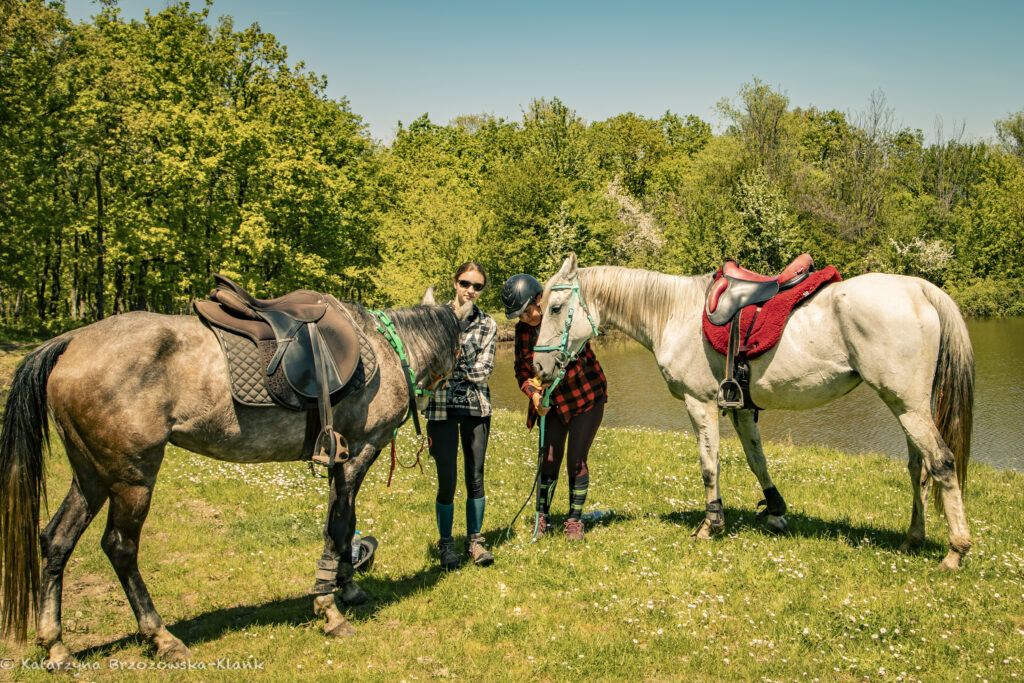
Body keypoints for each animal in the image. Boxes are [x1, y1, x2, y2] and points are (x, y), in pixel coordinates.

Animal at [0, 289, 470, 668]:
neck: (389, 349)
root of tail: (71, 341)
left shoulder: (341, 460)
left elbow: (345, 524)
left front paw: (347, 588)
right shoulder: (358, 452)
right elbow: (338, 527)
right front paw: (329, 608)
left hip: (92, 473)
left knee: (56, 540)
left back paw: (56, 645)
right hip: (132, 477)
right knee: (120, 548)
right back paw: (161, 636)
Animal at [531, 253, 974, 570]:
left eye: (555, 308)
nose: (538, 366)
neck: (673, 313)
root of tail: (919, 288)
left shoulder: (701, 404)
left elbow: (710, 466)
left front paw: (711, 525)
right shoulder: (741, 407)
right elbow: (756, 458)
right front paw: (776, 512)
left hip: (908, 406)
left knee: (941, 463)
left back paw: (955, 552)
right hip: (904, 406)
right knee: (919, 469)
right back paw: (913, 539)